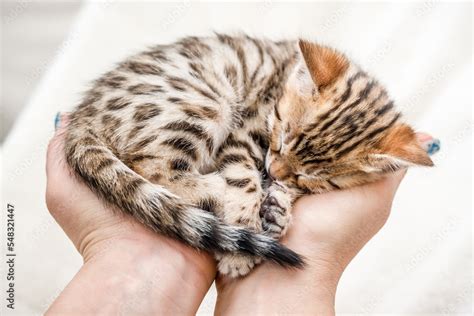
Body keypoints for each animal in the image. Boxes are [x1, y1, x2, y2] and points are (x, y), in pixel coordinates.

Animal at [64, 34, 434, 276]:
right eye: (281, 137)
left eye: (311, 177)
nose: (274, 170)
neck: (282, 78)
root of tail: (84, 115)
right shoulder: (245, 131)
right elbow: (243, 179)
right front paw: (241, 242)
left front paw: (278, 206)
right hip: (206, 102)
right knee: (152, 166)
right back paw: (217, 190)